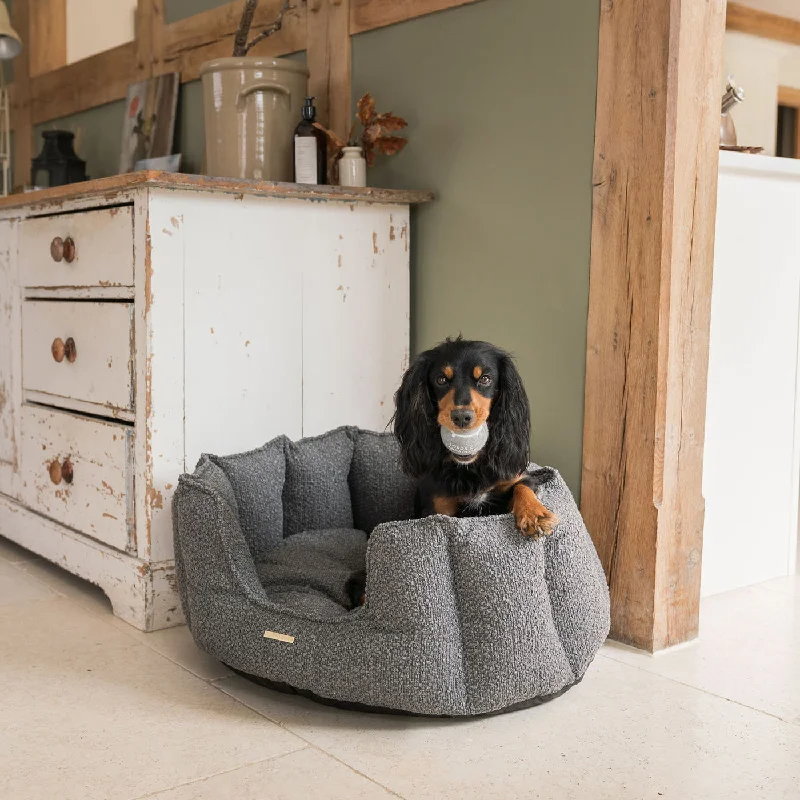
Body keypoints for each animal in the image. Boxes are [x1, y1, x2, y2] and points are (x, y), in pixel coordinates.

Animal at [392, 338, 556, 536]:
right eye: (441, 380)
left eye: (485, 379)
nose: (461, 417)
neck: (470, 466)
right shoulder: (436, 507)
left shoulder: (516, 478)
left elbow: (522, 486)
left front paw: (534, 514)